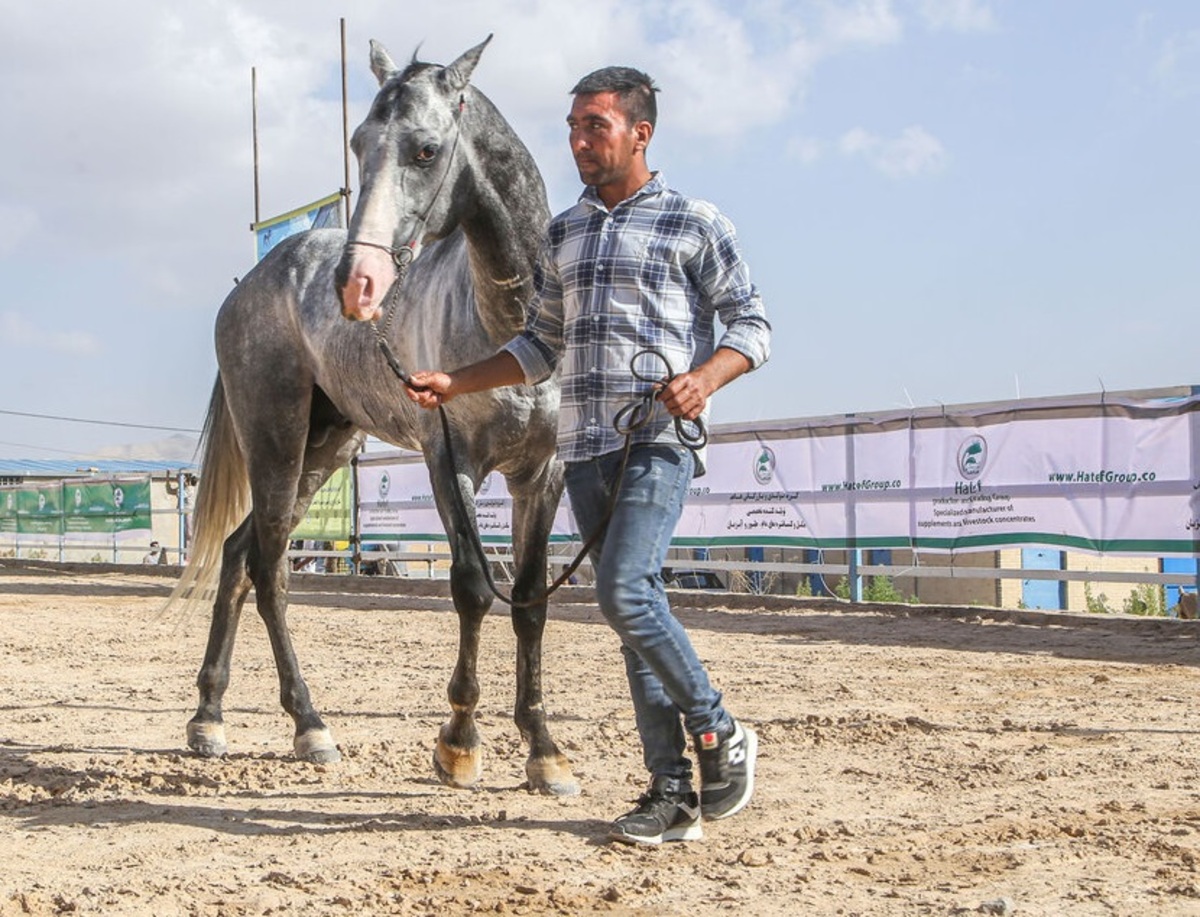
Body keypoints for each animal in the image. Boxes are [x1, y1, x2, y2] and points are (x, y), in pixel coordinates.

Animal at [172, 37, 576, 796]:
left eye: (425, 149)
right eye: (359, 144)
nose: (356, 284)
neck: (510, 330)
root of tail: (252, 283)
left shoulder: (542, 473)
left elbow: (532, 599)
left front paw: (544, 751)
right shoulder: (451, 463)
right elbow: (472, 589)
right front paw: (459, 743)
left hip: (324, 447)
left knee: (239, 555)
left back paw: (209, 716)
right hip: (277, 442)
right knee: (269, 568)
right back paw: (310, 726)